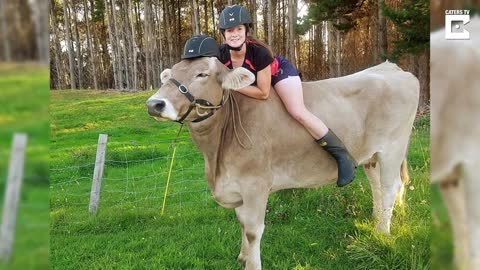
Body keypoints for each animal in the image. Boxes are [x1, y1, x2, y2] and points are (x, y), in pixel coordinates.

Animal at [146, 58, 420, 268]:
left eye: (202, 73)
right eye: (169, 74)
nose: (154, 104)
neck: (215, 157)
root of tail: (391, 67)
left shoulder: (255, 184)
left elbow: (253, 230)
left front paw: (252, 264)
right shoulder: (237, 185)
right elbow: (242, 222)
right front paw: (243, 257)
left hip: (392, 148)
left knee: (390, 187)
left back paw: (382, 232)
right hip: (370, 155)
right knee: (377, 185)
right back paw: (376, 220)